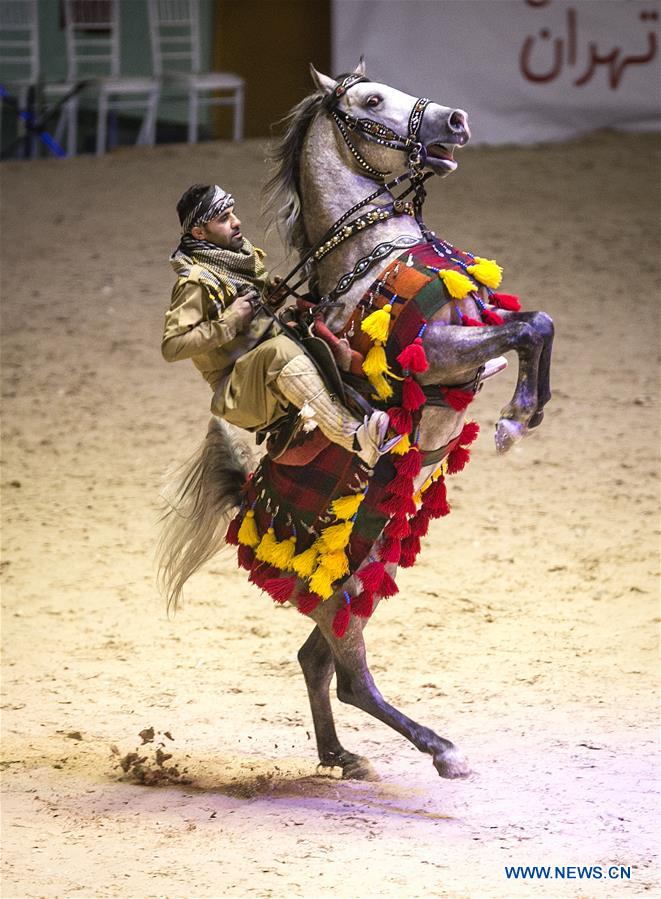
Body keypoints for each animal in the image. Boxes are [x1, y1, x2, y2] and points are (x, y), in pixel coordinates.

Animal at [159, 61, 552, 780]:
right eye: (371, 101)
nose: (455, 120)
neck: (374, 253)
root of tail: (244, 503)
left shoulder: (477, 329)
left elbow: (536, 323)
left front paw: (525, 411)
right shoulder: (438, 358)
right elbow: (530, 327)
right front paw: (515, 417)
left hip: (357, 581)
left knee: (316, 662)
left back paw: (341, 755)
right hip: (339, 597)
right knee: (349, 676)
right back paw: (442, 751)